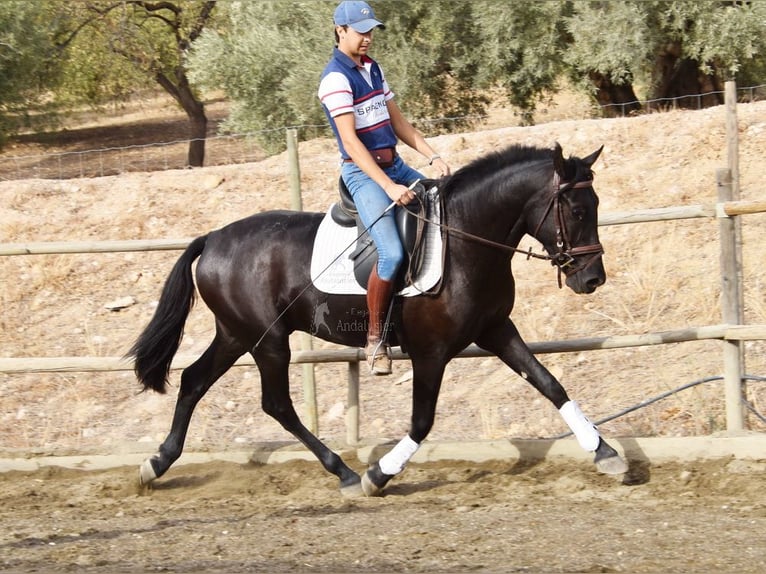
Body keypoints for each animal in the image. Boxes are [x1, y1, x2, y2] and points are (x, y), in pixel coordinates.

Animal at [127, 142, 632, 498]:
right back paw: (346, 473)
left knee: (194, 381)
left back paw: (157, 464)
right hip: (267, 340)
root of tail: (212, 238)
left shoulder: (496, 330)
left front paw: (606, 452)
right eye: (577, 210)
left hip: (236, 334)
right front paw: (379, 474)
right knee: (277, 405)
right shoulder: (431, 352)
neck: (465, 238)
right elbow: (422, 421)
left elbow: (550, 384)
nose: (593, 278)